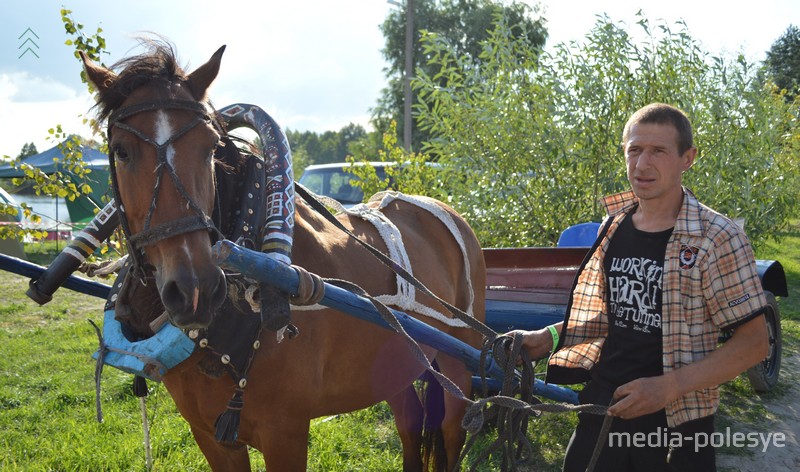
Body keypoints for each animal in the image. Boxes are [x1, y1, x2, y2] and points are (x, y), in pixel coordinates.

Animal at [79, 42, 488, 470]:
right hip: (394, 363)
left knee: (451, 431)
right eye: (121, 151)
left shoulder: (285, 433)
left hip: (461, 361)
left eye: (209, 149)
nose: (195, 289)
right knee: (409, 426)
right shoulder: (209, 435)